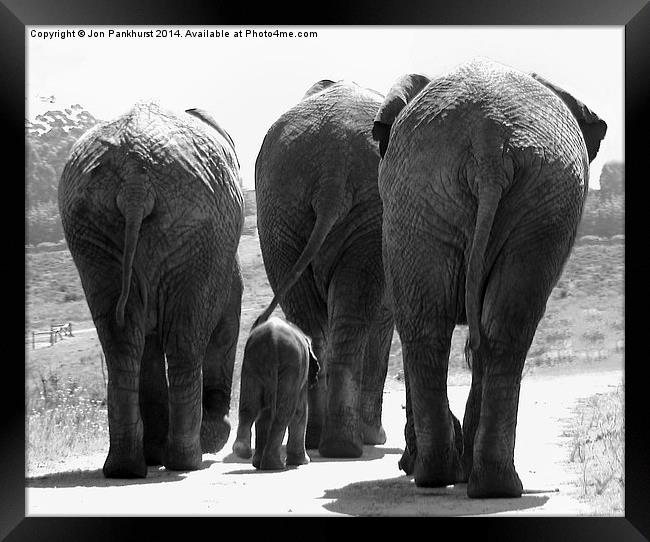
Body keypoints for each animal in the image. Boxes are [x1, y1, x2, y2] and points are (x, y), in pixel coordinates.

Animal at [58, 102, 243, 480]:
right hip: (197, 226)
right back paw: (187, 460)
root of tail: (135, 179)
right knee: (185, 338)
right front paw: (213, 437)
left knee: (121, 340)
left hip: (93, 227)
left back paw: (126, 468)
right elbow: (225, 328)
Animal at [232, 318, 318, 472]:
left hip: (251, 364)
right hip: (291, 365)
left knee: (249, 408)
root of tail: (272, 339)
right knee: (284, 412)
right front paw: (302, 462)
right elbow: (300, 411)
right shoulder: (301, 370)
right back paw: (275, 466)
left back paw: (245, 454)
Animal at [253, 77, 392, 460]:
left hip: (279, 206)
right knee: (352, 319)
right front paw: (376, 438)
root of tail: (332, 168)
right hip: (370, 208)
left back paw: (323, 443)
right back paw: (346, 446)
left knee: (312, 322)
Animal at [372, 58, 604, 498]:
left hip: (472, 192)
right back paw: (472, 481)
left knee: (440, 327)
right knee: (481, 328)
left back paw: (452, 477)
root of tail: (490, 140)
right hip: (472, 193)